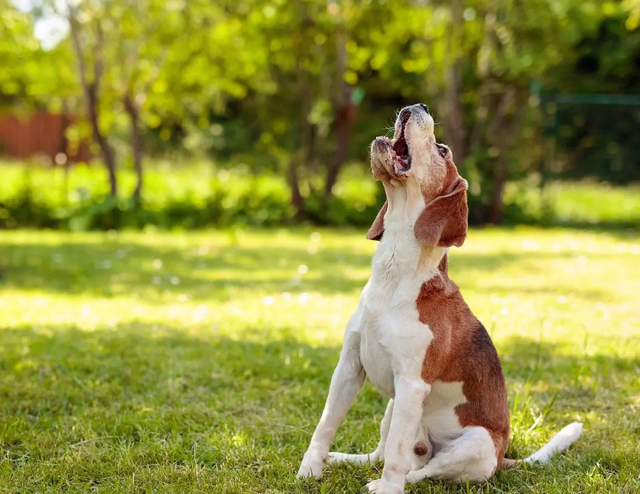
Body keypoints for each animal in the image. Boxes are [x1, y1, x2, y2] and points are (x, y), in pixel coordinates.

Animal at [298, 102, 584, 492]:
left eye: (443, 150)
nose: (417, 106)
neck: (394, 274)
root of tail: (502, 459)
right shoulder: (349, 366)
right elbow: (325, 425)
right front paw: (310, 468)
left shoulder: (412, 385)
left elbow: (398, 456)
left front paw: (387, 489)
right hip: (391, 409)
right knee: (380, 455)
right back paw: (342, 459)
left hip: (473, 442)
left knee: (419, 470)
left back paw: (386, 481)